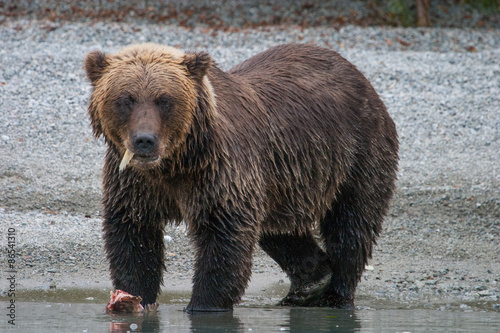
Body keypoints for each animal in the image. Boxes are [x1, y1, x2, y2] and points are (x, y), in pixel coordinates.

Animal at [85, 42, 398, 312]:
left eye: (164, 100)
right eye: (126, 99)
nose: (144, 140)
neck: (176, 163)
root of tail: (359, 75)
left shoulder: (219, 172)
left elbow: (224, 238)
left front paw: (203, 304)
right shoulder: (134, 183)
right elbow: (134, 236)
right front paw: (133, 298)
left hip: (356, 153)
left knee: (351, 225)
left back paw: (335, 294)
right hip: (281, 182)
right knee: (279, 230)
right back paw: (310, 283)